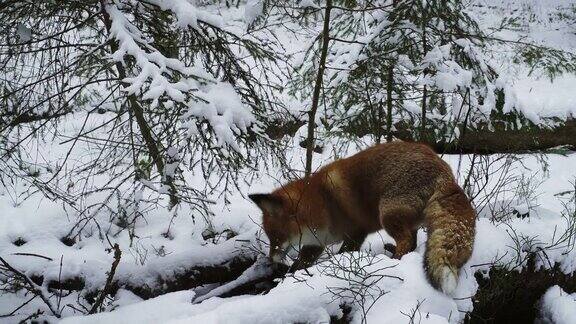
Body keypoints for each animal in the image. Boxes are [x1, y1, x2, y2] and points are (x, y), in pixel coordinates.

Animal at [250, 140, 474, 294]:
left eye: (275, 237)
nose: (270, 260)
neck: (320, 203)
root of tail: (443, 170)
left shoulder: (355, 233)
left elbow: (344, 253)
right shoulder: (315, 244)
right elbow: (298, 266)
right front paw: (284, 280)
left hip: (387, 214)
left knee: (405, 240)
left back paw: (395, 260)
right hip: (406, 220)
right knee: (412, 241)